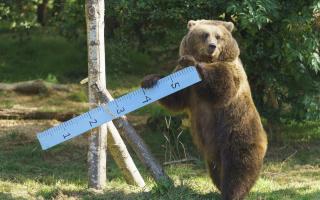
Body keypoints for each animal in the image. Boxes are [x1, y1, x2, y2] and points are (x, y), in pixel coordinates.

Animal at [141, 19, 266, 200]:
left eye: (218, 36)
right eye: (205, 34)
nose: (212, 46)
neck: (209, 60)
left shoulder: (230, 71)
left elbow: (223, 87)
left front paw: (192, 62)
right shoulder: (187, 89)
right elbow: (175, 99)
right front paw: (150, 80)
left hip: (237, 132)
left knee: (239, 166)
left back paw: (232, 192)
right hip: (213, 149)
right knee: (215, 169)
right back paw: (220, 186)